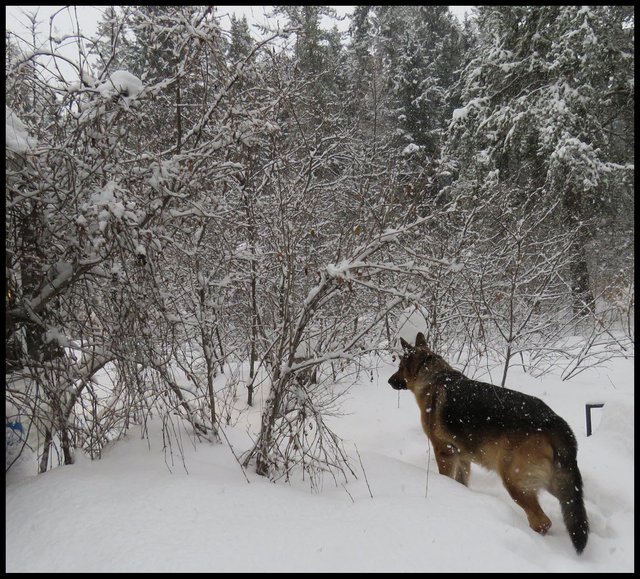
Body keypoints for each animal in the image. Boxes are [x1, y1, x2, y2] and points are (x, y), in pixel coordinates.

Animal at [388, 334, 588, 556]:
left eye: (400, 366)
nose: (389, 381)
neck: (436, 377)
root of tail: (554, 420)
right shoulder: (462, 458)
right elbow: (461, 482)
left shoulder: (444, 453)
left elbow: (446, 477)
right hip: (557, 483)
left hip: (515, 481)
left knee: (542, 521)